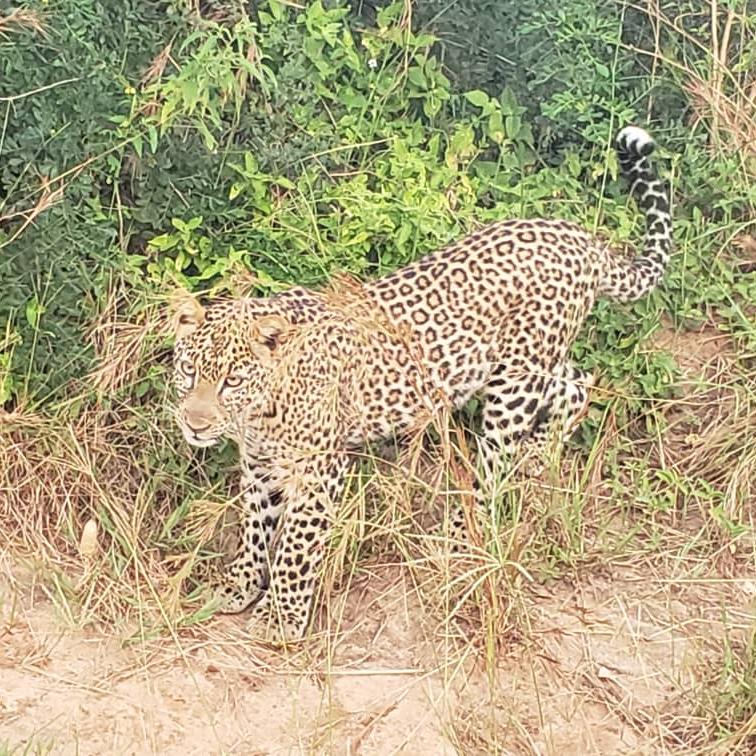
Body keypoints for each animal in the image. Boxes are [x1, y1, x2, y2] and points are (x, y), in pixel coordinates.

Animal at [173, 127, 672, 640]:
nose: (195, 425)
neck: (258, 414)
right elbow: (255, 524)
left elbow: (295, 544)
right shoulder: (260, 462)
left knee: (494, 464)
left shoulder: (320, 468)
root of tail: (581, 239)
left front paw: (281, 617)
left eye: (232, 380)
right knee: (576, 381)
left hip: (513, 385)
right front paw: (237, 585)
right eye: (189, 371)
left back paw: (459, 531)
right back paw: (537, 456)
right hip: (528, 363)